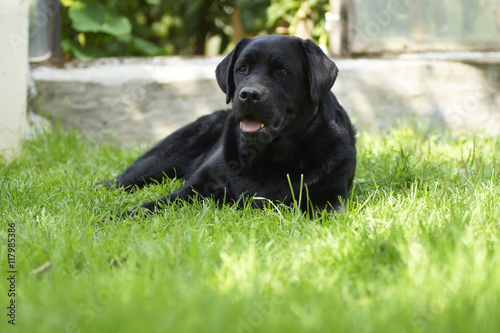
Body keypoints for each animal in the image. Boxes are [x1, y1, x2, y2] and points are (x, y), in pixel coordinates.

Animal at [101, 34, 358, 215]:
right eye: (242, 68)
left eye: (283, 71)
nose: (249, 95)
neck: (271, 156)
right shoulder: (197, 187)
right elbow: (151, 206)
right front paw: (112, 219)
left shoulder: (331, 195)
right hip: (162, 158)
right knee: (120, 180)